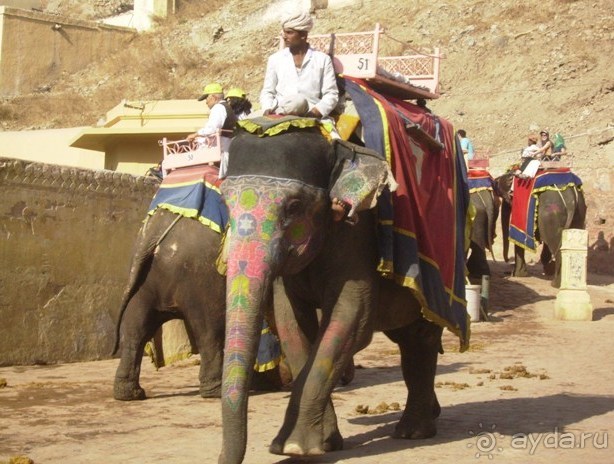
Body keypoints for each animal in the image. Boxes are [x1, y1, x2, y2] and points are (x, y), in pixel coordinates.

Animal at [217, 130, 466, 464]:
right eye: (224, 202)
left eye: (294, 206)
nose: (222, 458)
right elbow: (292, 326)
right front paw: (326, 443)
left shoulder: (357, 233)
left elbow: (349, 321)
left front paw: (294, 447)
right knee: (408, 340)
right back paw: (429, 415)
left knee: (420, 340)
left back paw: (413, 432)